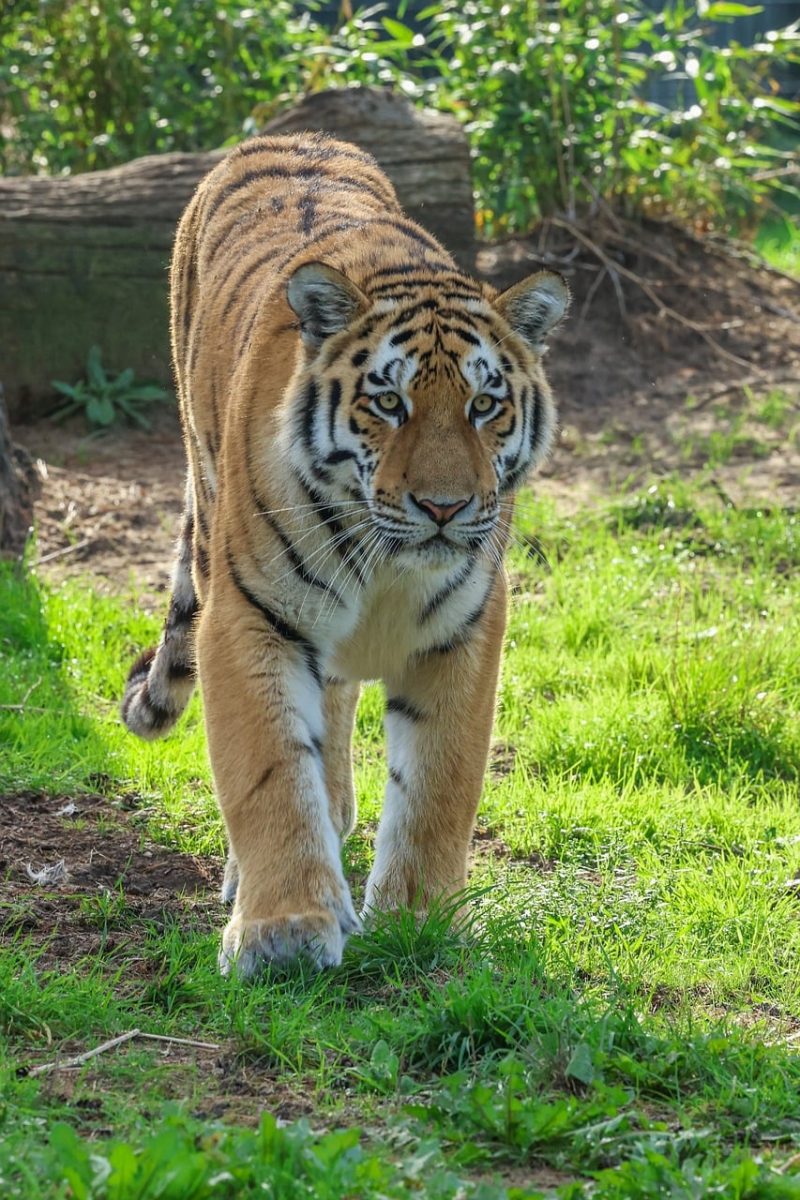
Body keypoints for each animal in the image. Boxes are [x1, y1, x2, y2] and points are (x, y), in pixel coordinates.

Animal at [121, 131, 568, 976]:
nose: (443, 507)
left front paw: (421, 918)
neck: (386, 564)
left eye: (484, 405)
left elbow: (441, 782)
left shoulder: (465, 627)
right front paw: (285, 929)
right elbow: (268, 771)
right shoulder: (250, 615)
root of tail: (291, 133)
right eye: (388, 403)